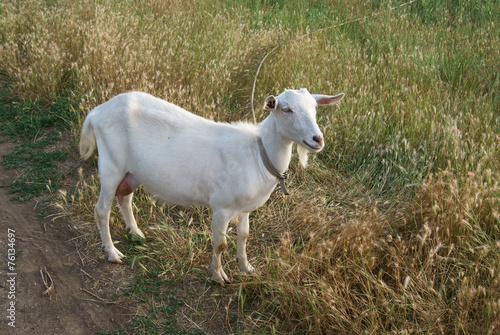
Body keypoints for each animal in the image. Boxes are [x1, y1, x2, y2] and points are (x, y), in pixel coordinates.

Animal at [79, 89, 344, 284]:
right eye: (287, 109)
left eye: (315, 108)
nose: (317, 139)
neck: (258, 154)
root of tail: (96, 112)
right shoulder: (221, 207)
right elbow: (220, 244)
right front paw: (218, 276)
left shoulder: (245, 209)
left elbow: (245, 236)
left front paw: (247, 267)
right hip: (111, 165)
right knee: (101, 210)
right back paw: (112, 253)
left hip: (132, 171)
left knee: (125, 198)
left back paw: (135, 233)